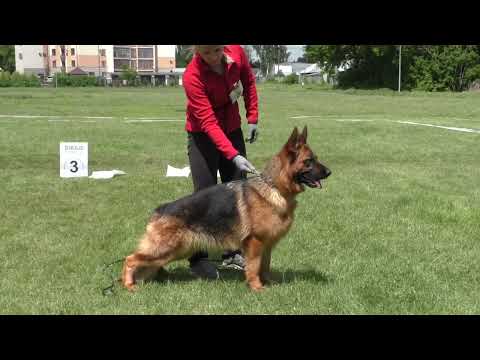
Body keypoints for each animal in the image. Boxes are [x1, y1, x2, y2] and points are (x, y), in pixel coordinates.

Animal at [121, 125, 330, 292]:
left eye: (315, 159)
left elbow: (265, 266)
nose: (329, 172)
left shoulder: (267, 244)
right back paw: (129, 285)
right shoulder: (255, 242)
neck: (275, 188)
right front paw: (256, 287)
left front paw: (269, 283)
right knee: (130, 259)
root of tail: (160, 210)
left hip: (174, 251)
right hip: (165, 250)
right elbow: (254, 267)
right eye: (308, 161)